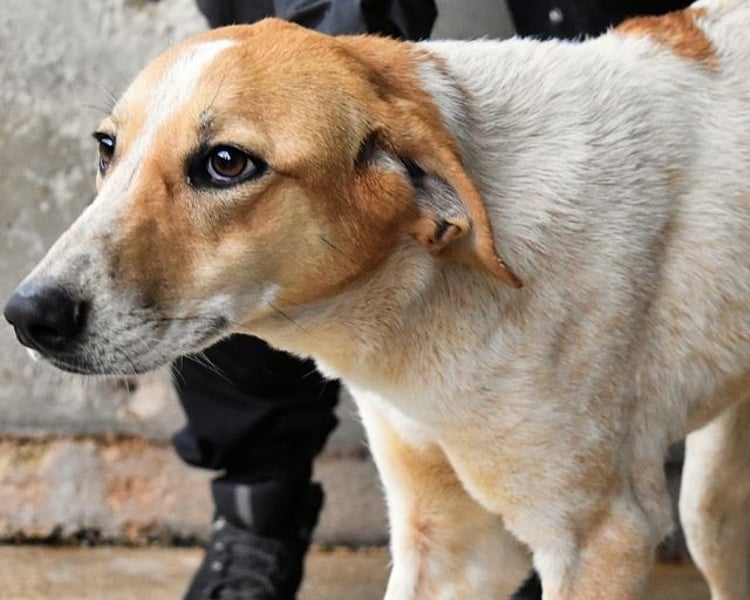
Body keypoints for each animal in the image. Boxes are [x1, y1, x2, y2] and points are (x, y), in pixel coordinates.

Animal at [5, 0, 750, 597]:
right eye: (107, 147)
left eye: (226, 163)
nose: (28, 315)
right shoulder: (451, 539)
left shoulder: (600, 535)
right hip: (712, 500)